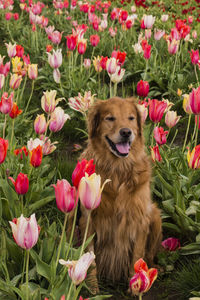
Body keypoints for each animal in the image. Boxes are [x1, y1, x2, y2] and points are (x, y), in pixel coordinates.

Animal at [78, 96, 162, 286]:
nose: (126, 132)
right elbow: (90, 259)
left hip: (155, 213)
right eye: (110, 118)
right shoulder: (88, 218)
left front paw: (136, 286)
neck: (117, 169)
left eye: (131, 118)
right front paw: (92, 288)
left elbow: (137, 257)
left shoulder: (140, 218)